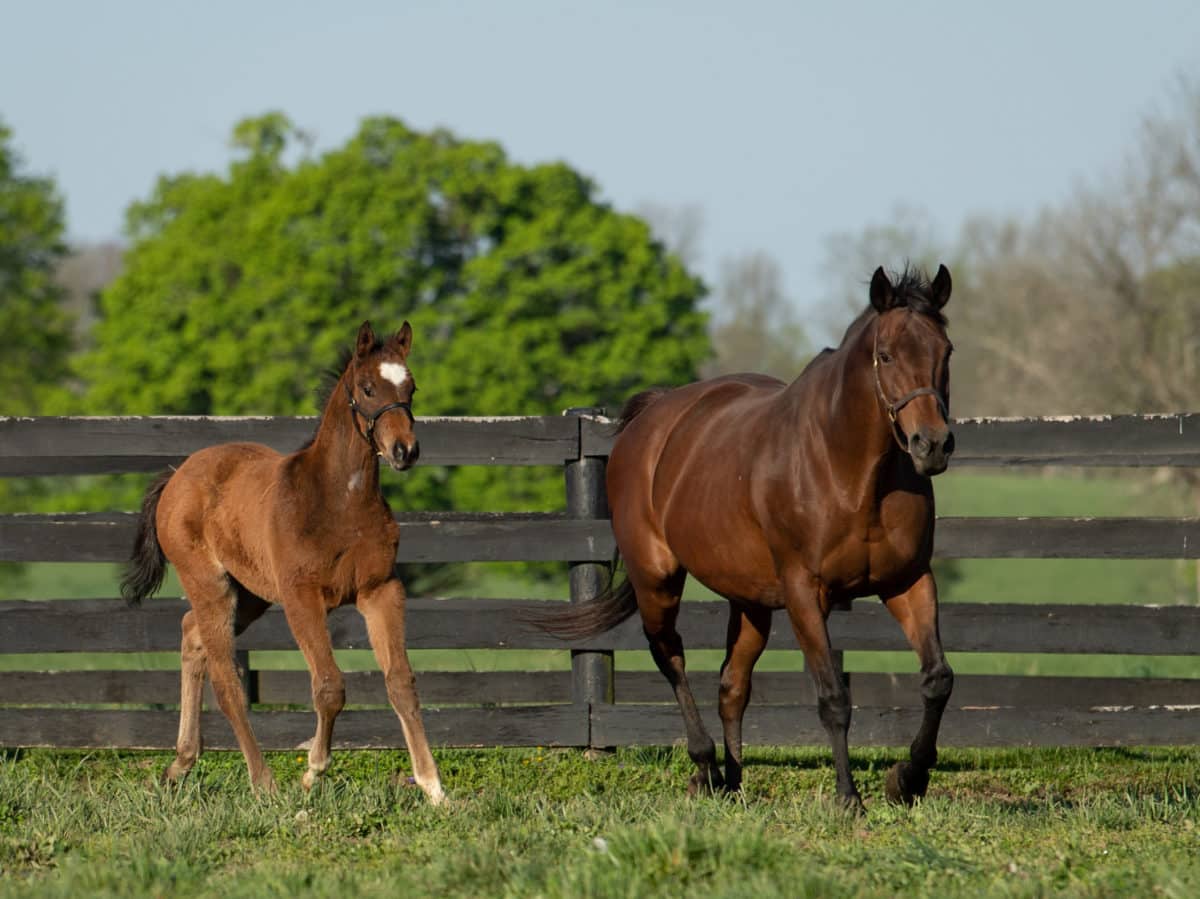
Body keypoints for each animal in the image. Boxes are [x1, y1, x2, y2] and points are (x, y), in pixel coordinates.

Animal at [120, 321, 446, 801]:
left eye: (411, 387)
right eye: (367, 388)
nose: (405, 450)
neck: (338, 503)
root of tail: (178, 475)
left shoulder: (381, 590)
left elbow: (401, 682)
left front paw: (434, 788)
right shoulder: (301, 597)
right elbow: (329, 686)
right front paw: (313, 772)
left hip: (250, 594)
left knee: (191, 634)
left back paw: (181, 762)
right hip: (211, 585)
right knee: (227, 681)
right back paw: (263, 782)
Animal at [535, 262, 955, 811]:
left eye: (946, 351)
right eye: (885, 355)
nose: (932, 445)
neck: (850, 470)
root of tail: (654, 416)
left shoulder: (907, 581)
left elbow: (937, 679)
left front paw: (908, 778)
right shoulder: (804, 593)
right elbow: (833, 697)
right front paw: (848, 797)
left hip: (750, 600)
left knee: (732, 683)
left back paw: (733, 781)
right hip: (658, 578)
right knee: (670, 655)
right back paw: (706, 767)